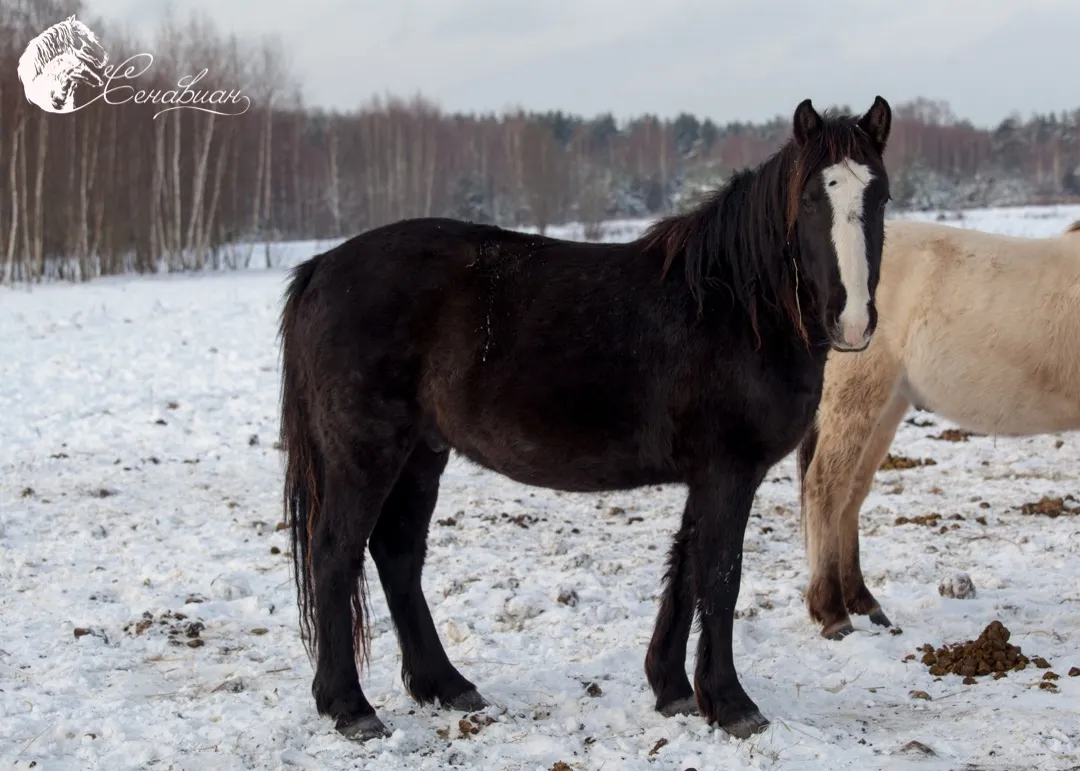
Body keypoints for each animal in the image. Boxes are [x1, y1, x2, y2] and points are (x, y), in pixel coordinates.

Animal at [277, 96, 893, 742]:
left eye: (880, 197)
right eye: (812, 200)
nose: (852, 321)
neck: (734, 305)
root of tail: (320, 267)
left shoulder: (706, 475)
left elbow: (686, 566)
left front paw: (672, 688)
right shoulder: (729, 472)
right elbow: (721, 577)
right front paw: (731, 704)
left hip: (422, 452)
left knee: (397, 554)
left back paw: (445, 685)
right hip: (366, 452)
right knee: (336, 553)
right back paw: (351, 706)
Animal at [797, 217, 1080, 640]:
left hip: (889, 404)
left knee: (852, 494)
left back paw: (864, 603)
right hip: (856, 394)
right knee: (826, 488)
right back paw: (833, 613)